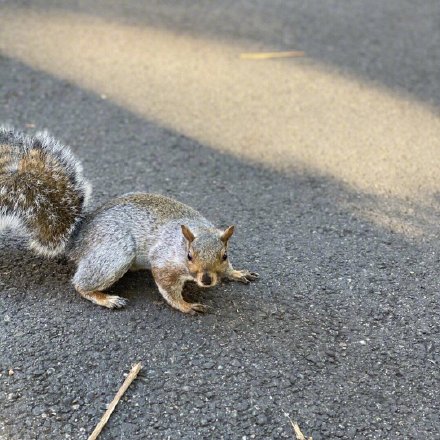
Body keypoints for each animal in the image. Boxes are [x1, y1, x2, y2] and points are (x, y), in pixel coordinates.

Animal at [0, 126, 258, 312]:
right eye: (189, 256)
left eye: (224, 256)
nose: (206, 280)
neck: (191, 234)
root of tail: (78, 239)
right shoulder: (163, 261)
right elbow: (168, 288)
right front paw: (185, 305)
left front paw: (236, 273)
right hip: (115, 253)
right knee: (81, 284)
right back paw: (105, 298)